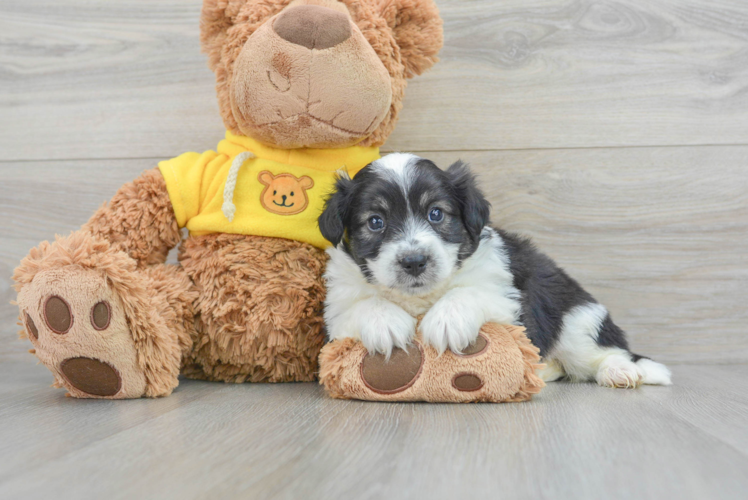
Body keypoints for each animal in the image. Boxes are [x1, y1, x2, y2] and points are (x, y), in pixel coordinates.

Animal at [318, 154, 676, 388]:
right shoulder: (336, 314)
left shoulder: (508, 297)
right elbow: (362, 306)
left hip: (575, 321)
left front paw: (447, 321)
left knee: (606, 352)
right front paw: (385, 323)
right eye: (375, 222)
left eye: (436, 214)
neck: (421, 298)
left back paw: (623, 372)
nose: (414, 261)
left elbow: (470, 292)